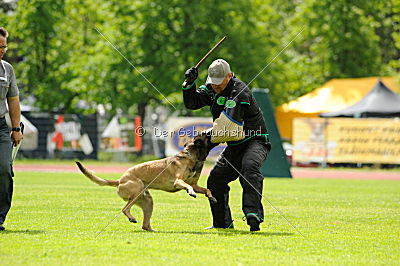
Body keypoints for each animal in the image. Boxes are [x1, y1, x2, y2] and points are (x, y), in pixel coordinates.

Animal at [75, 134, 216, 232]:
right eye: (204, 136)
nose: (210, 132)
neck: (190, 157)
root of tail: (120, 180)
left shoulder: (195, 185)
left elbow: (206, 189)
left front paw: (211, 197)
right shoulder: (178, 181)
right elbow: (187, 186)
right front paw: (190, 192)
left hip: (147, 201)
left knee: (145, 225)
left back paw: (153, 230)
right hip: (136, 192)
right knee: (125, 209)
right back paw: (131, 218)